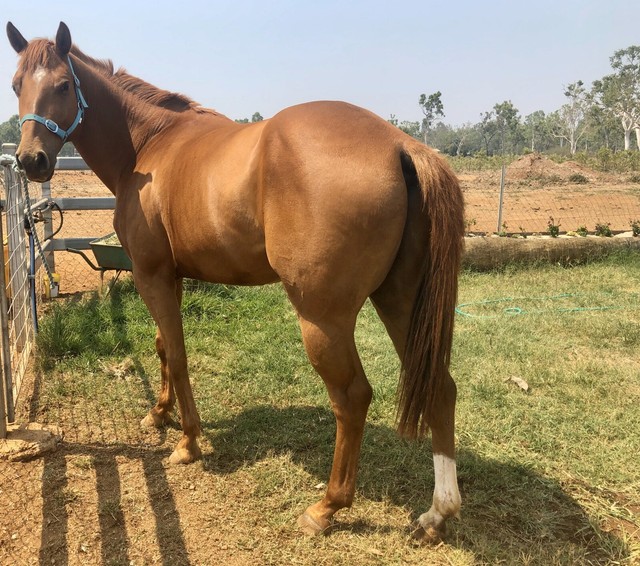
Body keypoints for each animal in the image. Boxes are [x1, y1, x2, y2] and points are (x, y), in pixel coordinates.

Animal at [7, 21, 465, 542]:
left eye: (64, 85)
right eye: (17, 85)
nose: (31, 160)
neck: (148, 147)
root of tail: (401, 145)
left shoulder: (151, 275)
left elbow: (178, 354)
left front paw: (188, 442)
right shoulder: (168, 277)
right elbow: (163, 347)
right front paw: (159, 414)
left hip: (323, 319)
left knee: (352, 398)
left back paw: (327, 507)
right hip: (399, 301)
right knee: (441, 387)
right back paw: (437, 512)